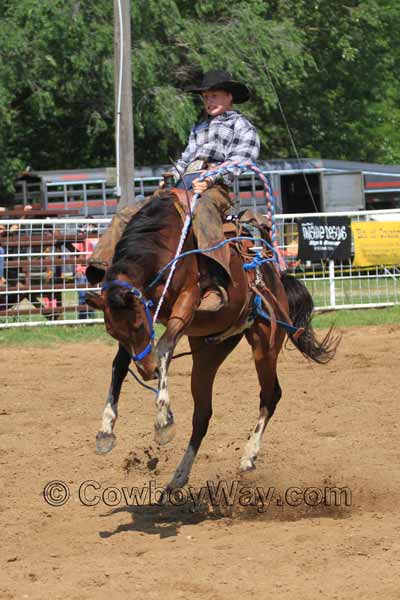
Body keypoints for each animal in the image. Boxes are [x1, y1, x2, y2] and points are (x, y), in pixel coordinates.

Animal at [87, 195, 338, 490]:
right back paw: (178, 478)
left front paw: (161, 421)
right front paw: (105, 430)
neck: (163, 244)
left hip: (264, 344)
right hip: (209, 353)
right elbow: (119, 366)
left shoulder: (186, 301)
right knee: (202, 415)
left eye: (138, 326)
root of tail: (276, 278)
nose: (148, 372)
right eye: (113, 333)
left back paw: (248, 456)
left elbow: (163, 347)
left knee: (270, 395)